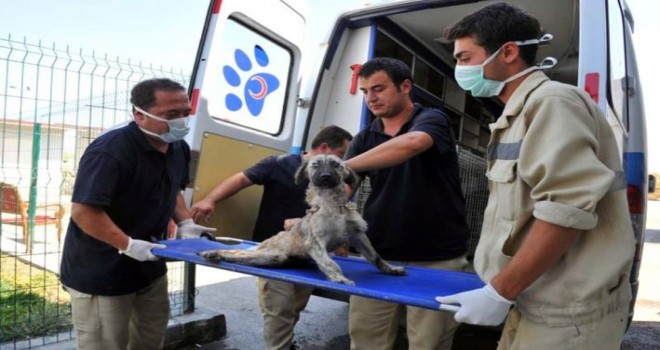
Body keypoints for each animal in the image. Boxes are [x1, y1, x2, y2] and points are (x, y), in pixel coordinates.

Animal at [196, 154, 404, 286]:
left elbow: (375, 256)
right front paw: (339, 278)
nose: (326, 176)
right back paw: (213, 253)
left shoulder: (357, 235)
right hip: (272, 254)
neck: (331, 204)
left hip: (274, 259)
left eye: (336, 165)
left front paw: (390, 268)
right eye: (315, 165)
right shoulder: (316, 242)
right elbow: (330, 263)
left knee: (242, 258)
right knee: (237, 255)